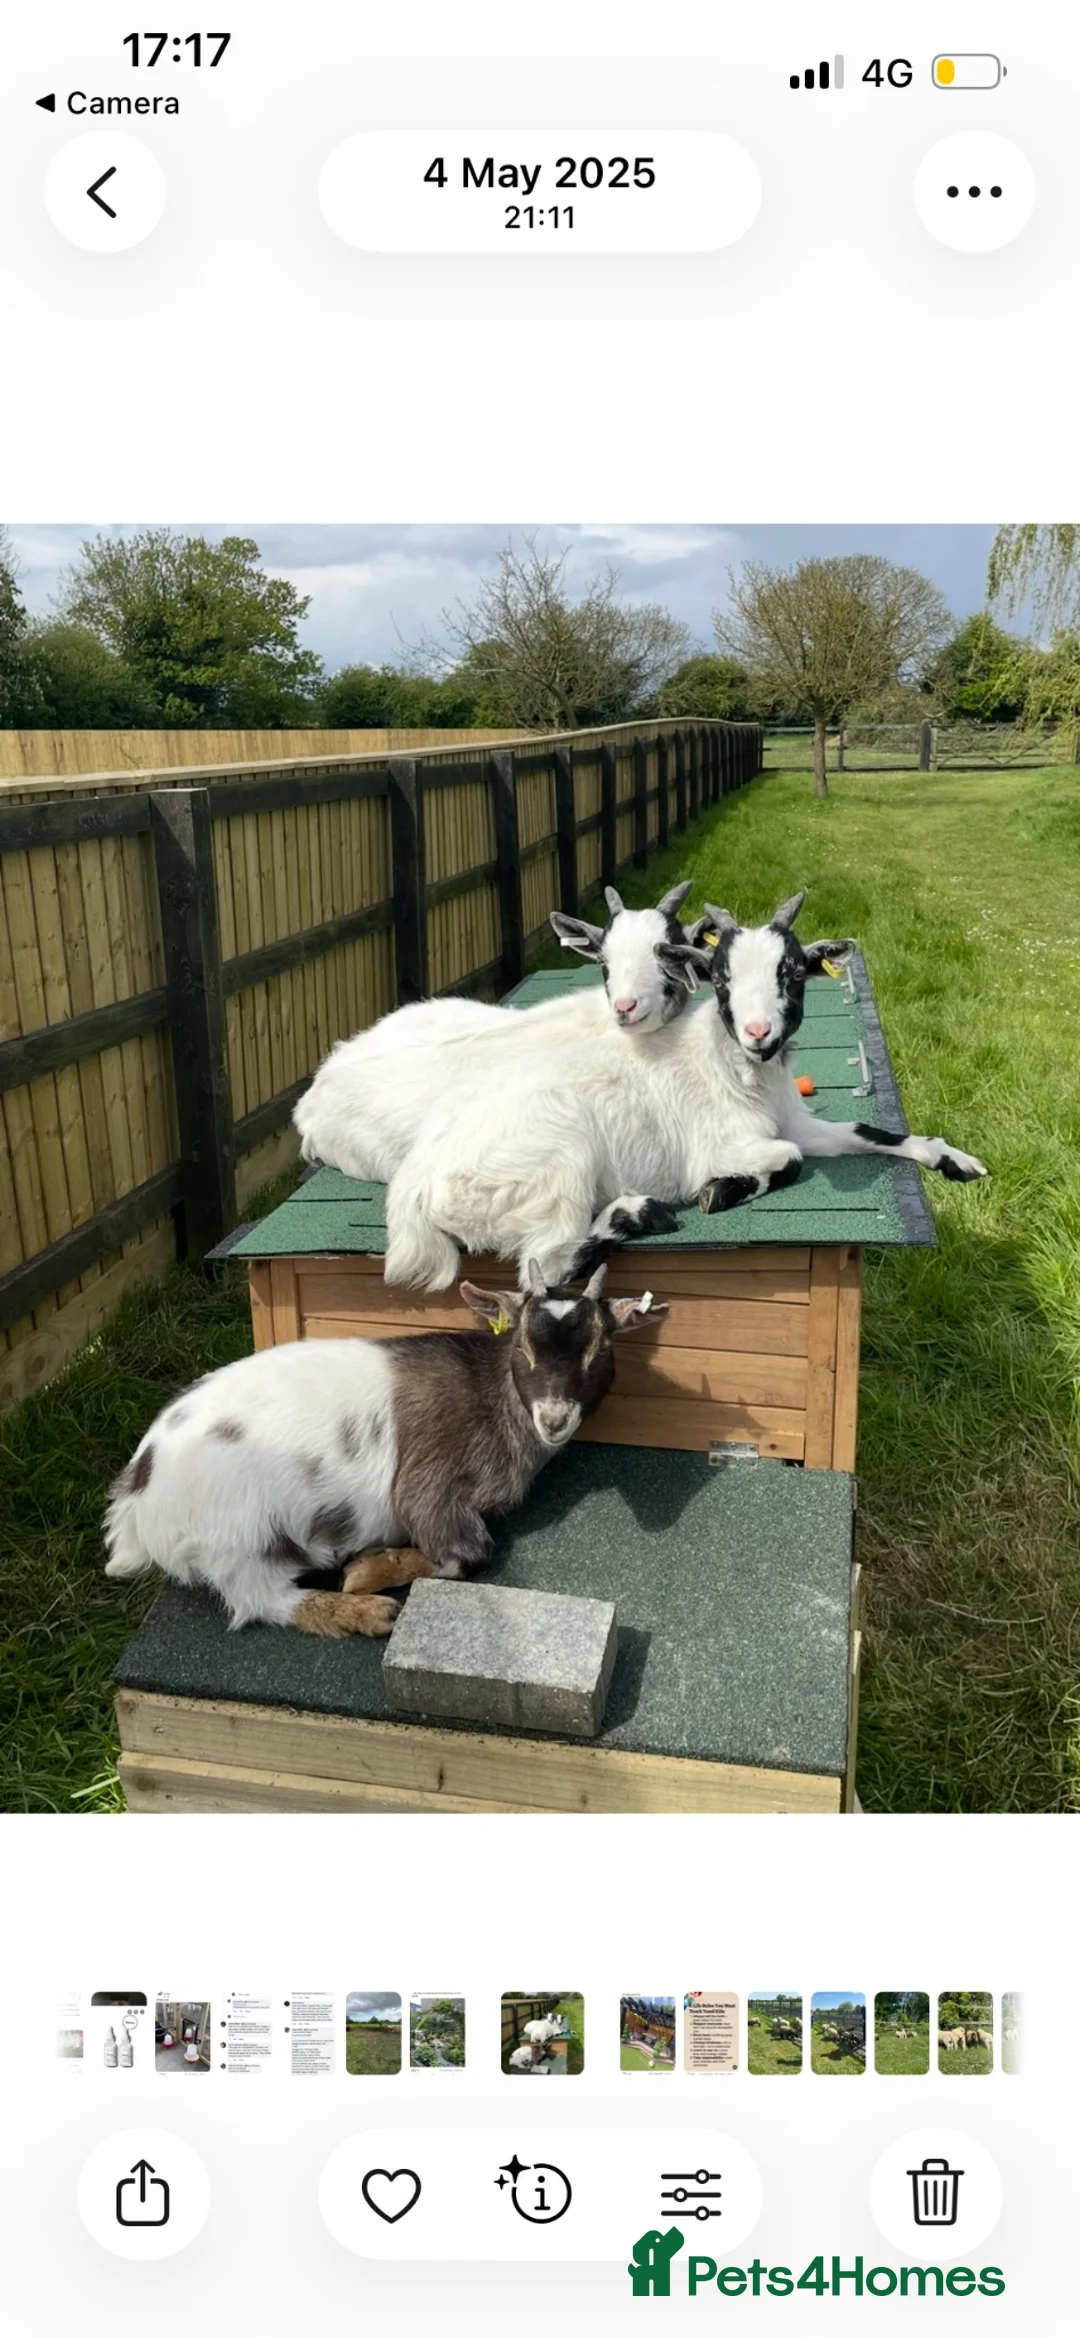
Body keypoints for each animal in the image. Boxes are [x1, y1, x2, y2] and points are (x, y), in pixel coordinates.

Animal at [103, 1263, 665, 1635]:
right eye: (523, 1344)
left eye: (601, 1346)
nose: (554, 1419)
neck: (490, 1394)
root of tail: (137, 1496)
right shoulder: (427, 1488)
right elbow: (469, 1554)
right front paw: (366, 1574)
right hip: (242, 1540)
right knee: (261, 1602)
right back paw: (365, 1613)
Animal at [382, 891, 988, 1291]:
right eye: (720, 980)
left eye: (793, 972)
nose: (759, 1033)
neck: (734, 1070)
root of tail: (412, 1190)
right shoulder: (720, 1145)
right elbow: (789, 1159)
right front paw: (720, 1191)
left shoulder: (795, 1120)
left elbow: (865, 1130)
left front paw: (956, 1161)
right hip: (557, 1166)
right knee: (544, 1271)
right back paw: (640, 1213)